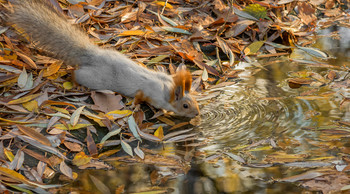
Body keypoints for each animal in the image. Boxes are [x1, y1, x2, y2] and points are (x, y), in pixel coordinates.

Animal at [8, 0, 200, 116]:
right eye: (185, 105)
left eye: (195, 100)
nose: (197, 113)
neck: (167, 90)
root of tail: (93, 55)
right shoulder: (147, 91)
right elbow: (139, 96)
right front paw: (136, 105)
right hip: (94, 78)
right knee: (77, 74)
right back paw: (77, 84)